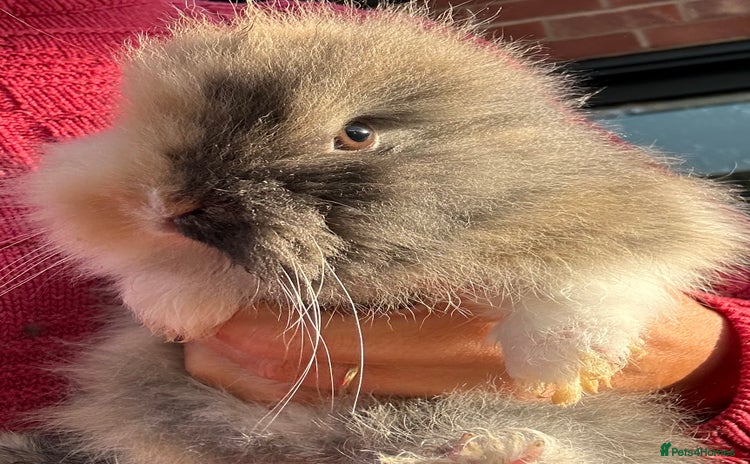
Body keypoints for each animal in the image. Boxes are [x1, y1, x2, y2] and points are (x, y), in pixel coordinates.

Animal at [1, 1, 743, 462]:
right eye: (161, 128)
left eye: (357, 134)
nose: (173, 202)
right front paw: (175, 310)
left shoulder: (626, 214)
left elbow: (593, 276)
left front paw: (561, 371)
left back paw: (502, 447)